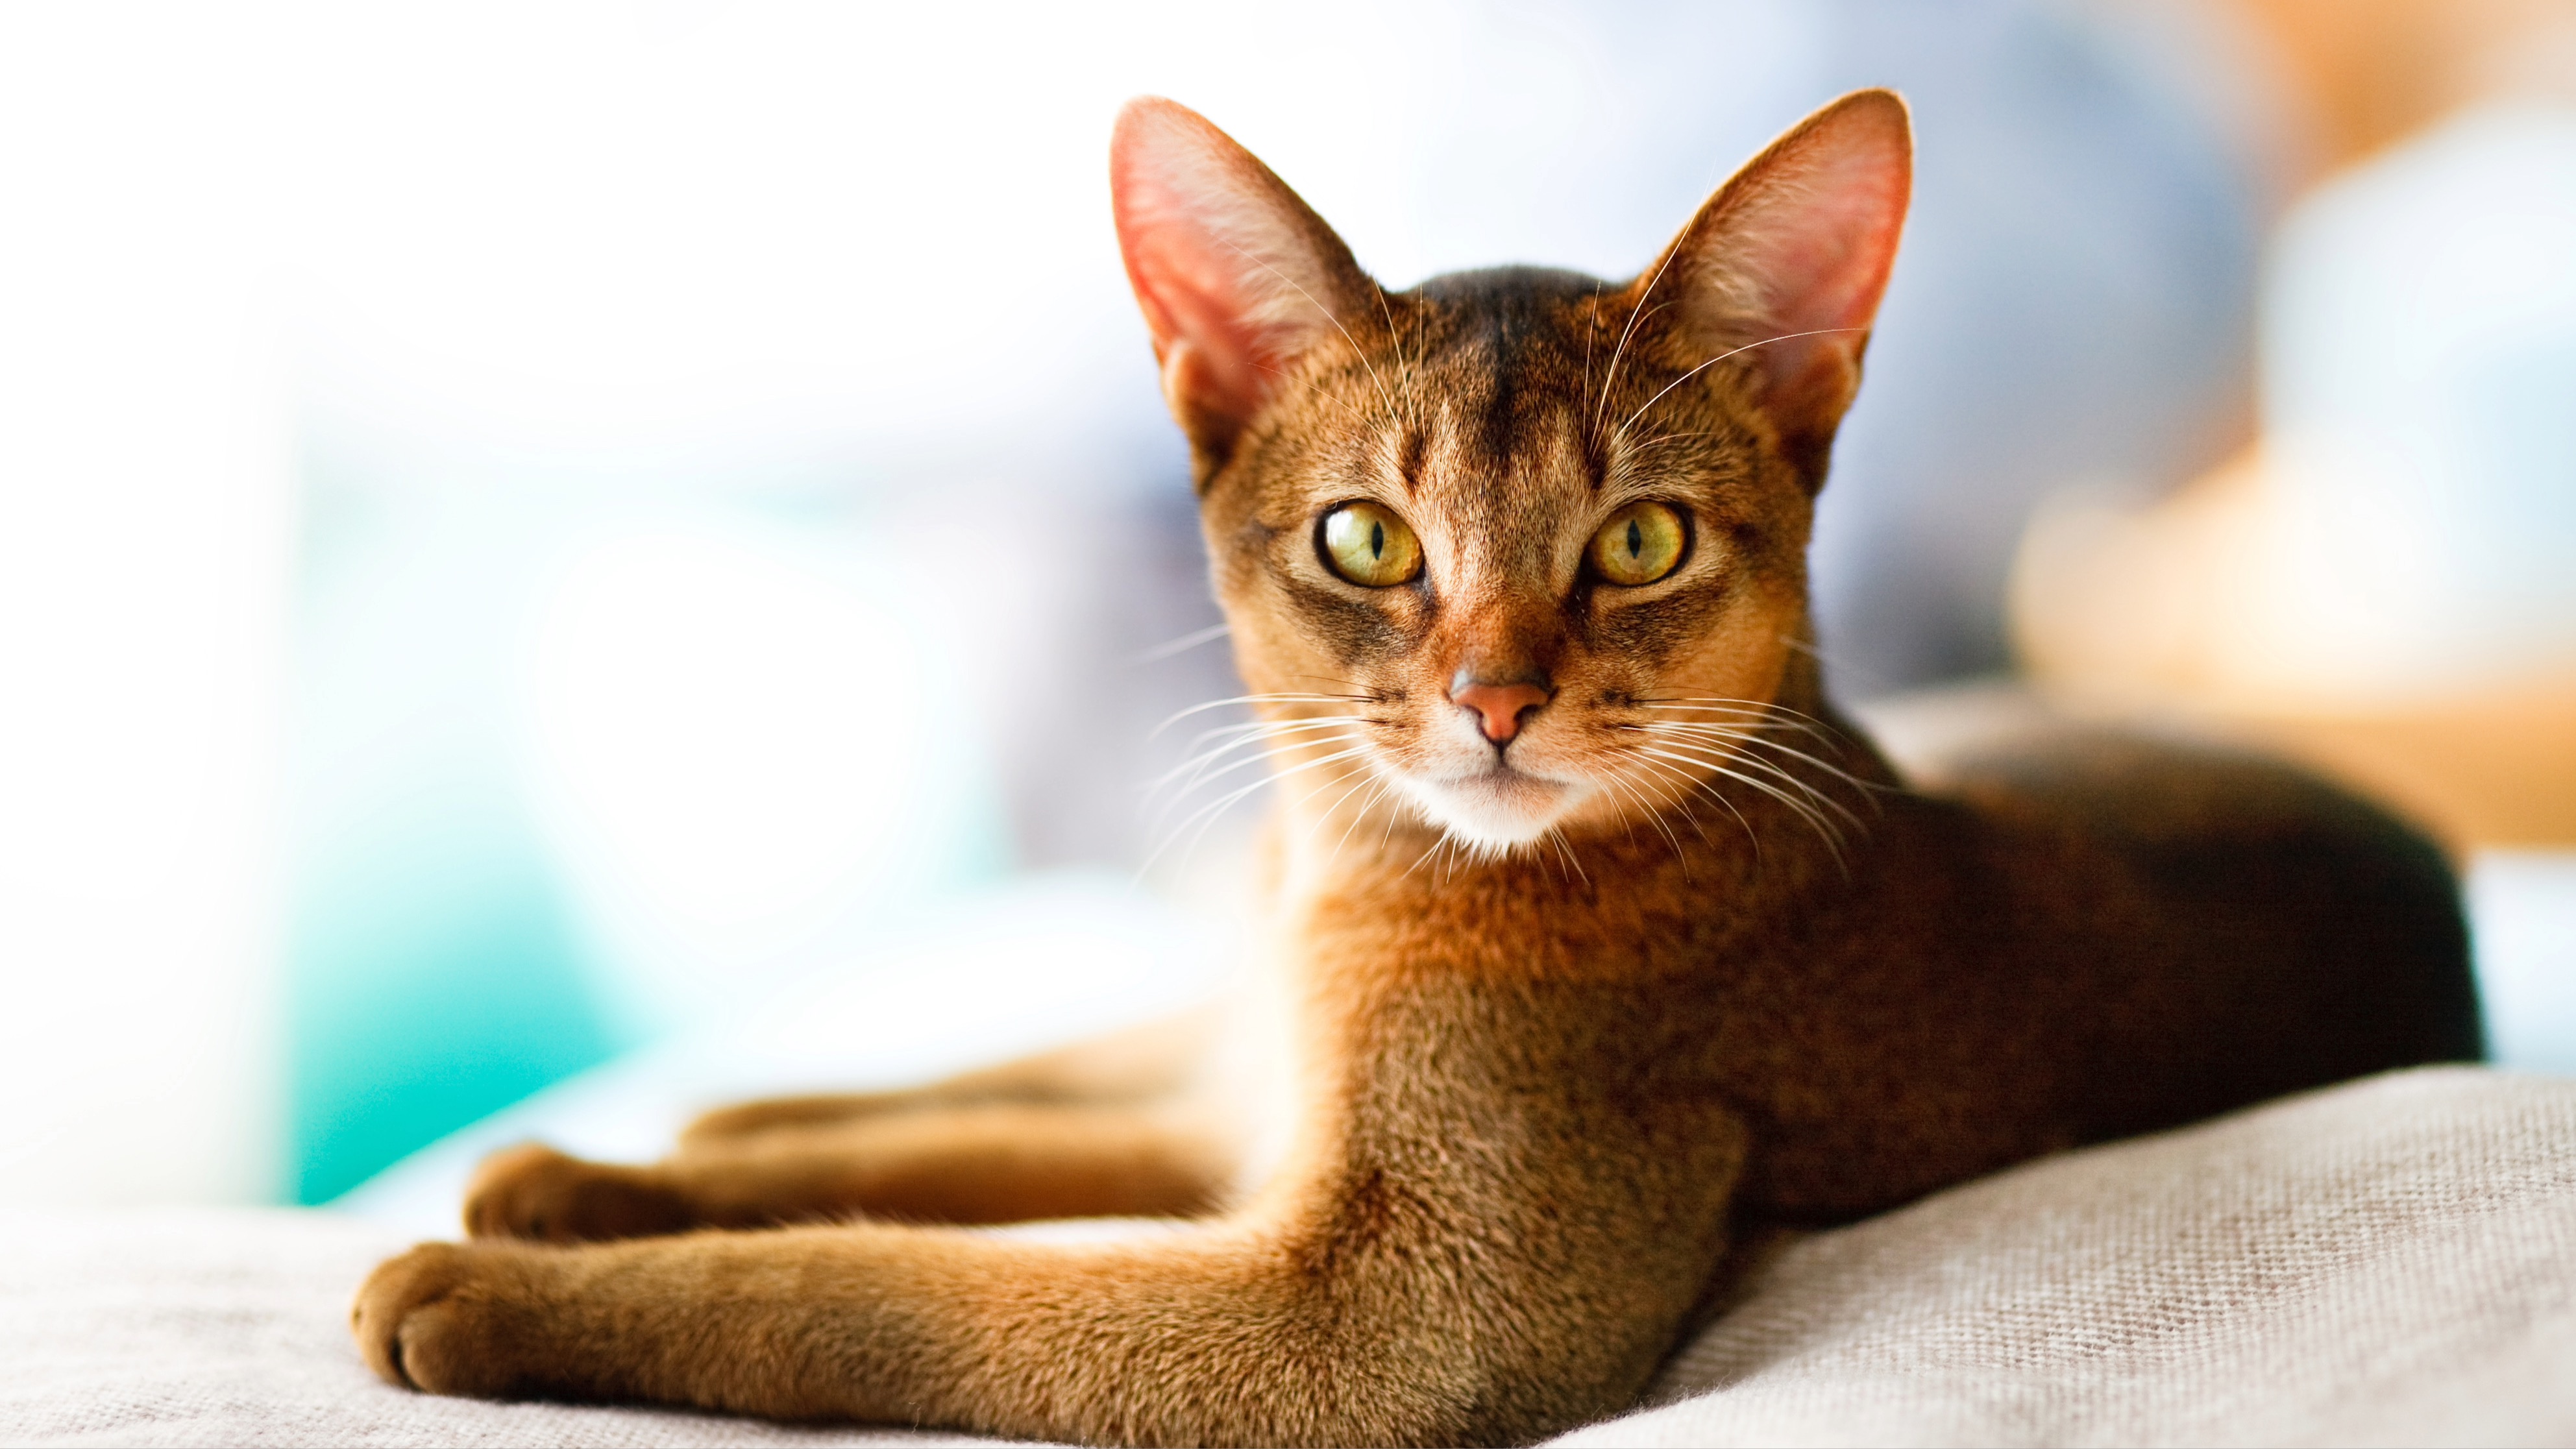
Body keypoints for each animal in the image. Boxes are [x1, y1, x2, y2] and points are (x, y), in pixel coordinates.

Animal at [347, 93, 2473, 1449]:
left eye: (1639, 543)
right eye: (1369, 541)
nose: (1494, 701)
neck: (1357, 887)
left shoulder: (1390, 1320)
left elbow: (911, 1289)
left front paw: (498, 1293)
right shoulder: (1283, 1141)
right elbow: (950, 1174)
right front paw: (584, 1195)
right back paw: (643, 1138)